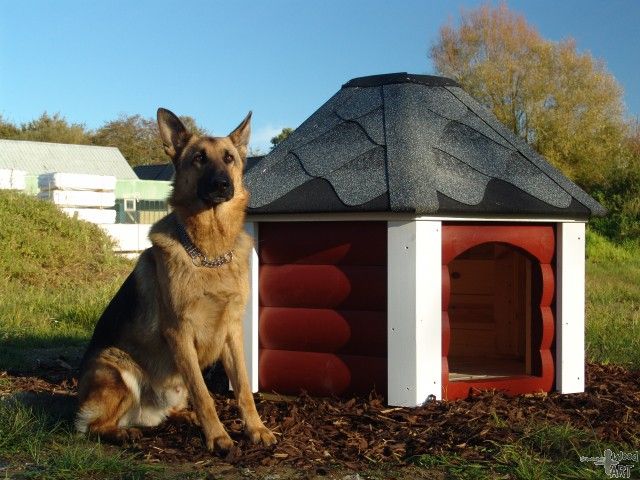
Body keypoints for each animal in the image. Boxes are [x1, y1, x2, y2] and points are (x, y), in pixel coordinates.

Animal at [75, 108, 276, 451]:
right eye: (198, 158)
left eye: (229, 158)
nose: (222, 184)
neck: (209, 253)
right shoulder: (180, 333)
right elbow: (204, 394)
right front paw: (219, 437)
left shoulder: (232, 332)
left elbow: (243, 389)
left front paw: (255, 429)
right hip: (116, 366)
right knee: (91, 427)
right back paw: (124, 433)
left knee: (172, 410)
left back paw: (184, 418)